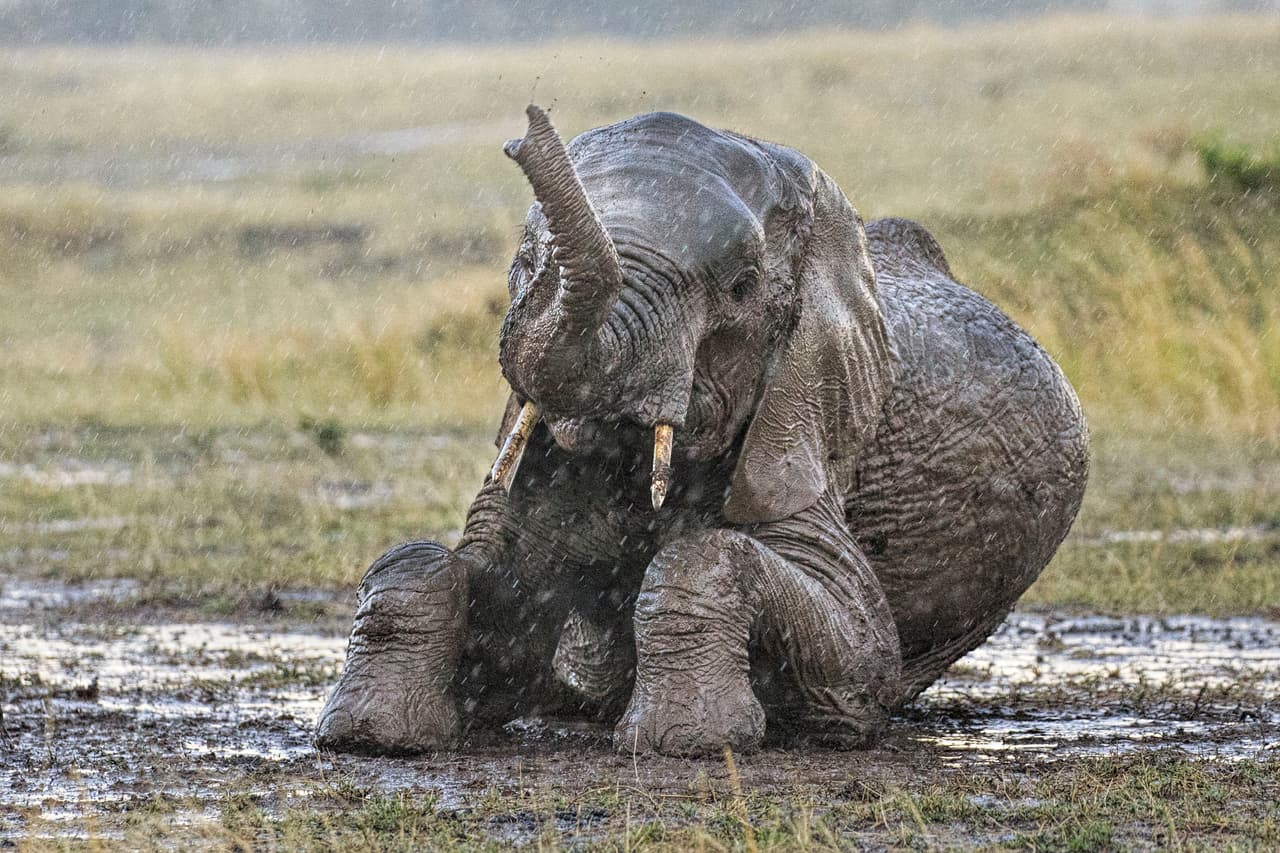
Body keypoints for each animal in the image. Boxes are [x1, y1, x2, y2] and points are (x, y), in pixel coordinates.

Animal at [313, 106, 1088, 757]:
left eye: (743, 287)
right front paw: (368, 735)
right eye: (524, 263)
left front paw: (685, 741)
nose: (526, 130)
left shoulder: (808, 432)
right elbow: (454, 579)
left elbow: (860, 652)